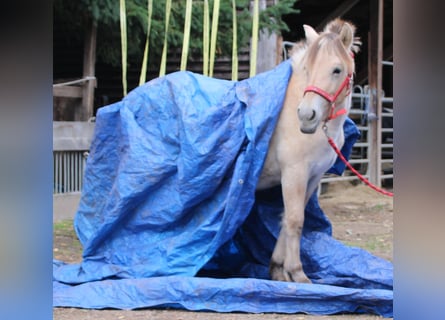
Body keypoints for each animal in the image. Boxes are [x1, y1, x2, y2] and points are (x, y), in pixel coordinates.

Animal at [256, 18, 360, 282]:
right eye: (307, 68)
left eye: (336, 70)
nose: (306, 115)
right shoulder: (294, 174)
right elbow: (295, 220)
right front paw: (297, 272)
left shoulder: (312, 177)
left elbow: (288, 218)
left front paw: (278, 269)